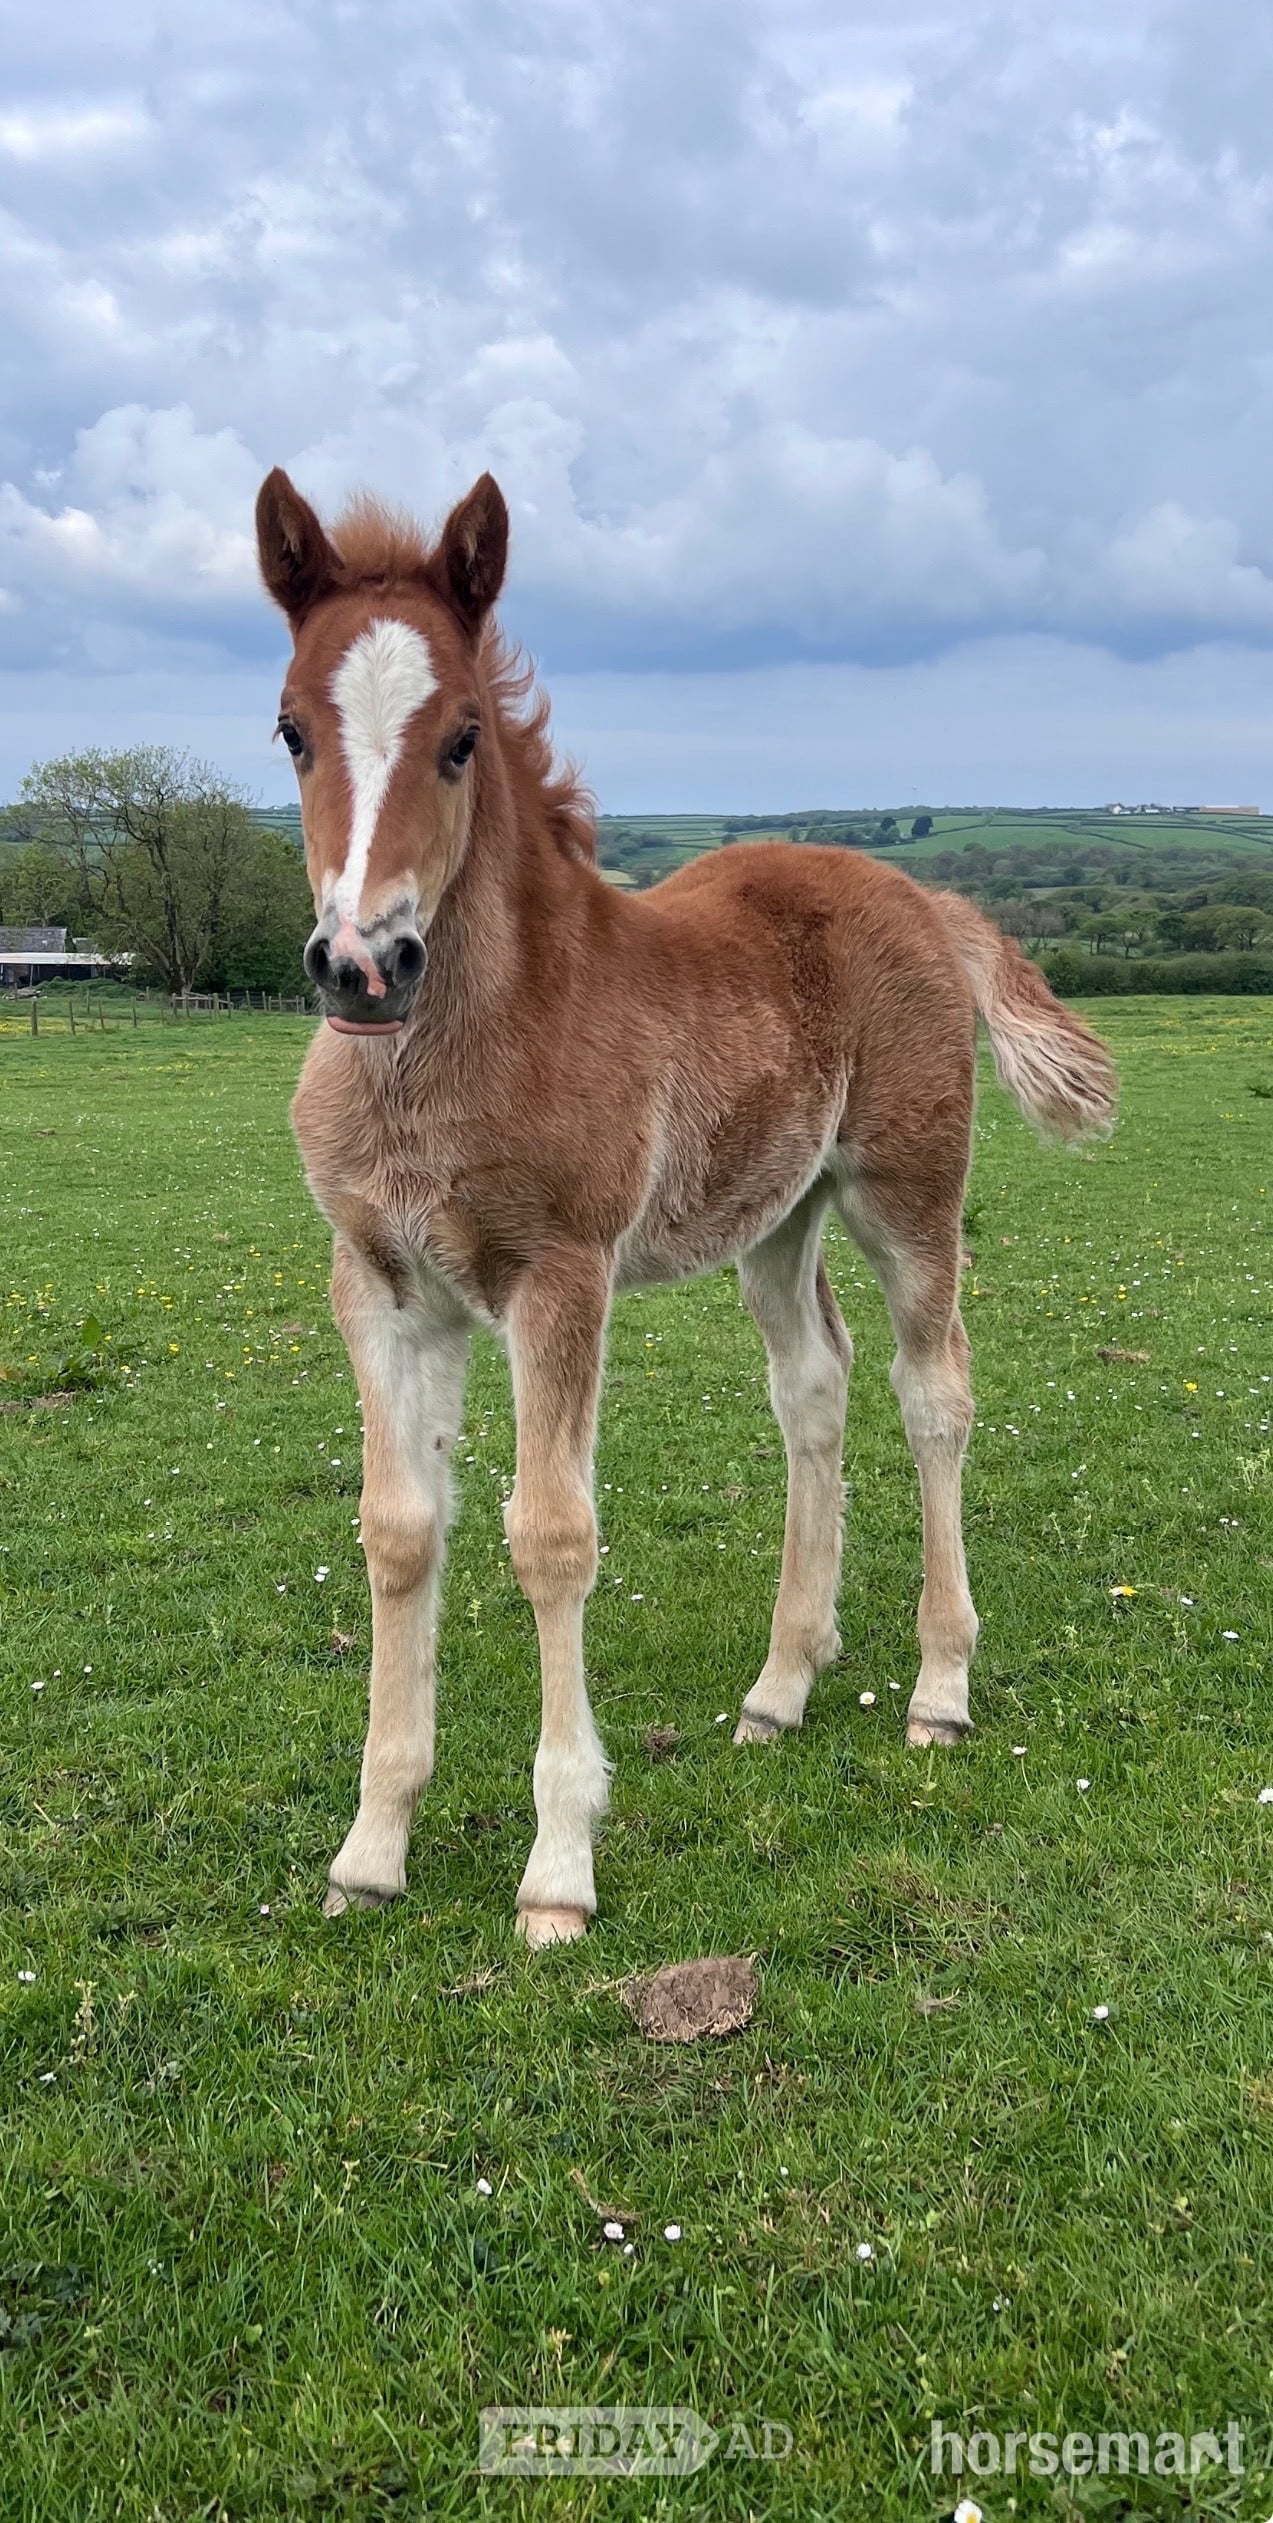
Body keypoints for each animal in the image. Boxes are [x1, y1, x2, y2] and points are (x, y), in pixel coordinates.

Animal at [254, 464, 1117, 1945]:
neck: (443, 1056)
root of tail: (916, 889)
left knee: (931, 1390)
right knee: (815, 1387)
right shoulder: (381, 1285)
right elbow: (398, 1532)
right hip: (776, 1214)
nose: (363, 964)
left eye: (461, 738)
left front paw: (558, 1870)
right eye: (293, 730)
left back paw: (939, 1689)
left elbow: (550, 1535)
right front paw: (370, 1847)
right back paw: (782, 1682)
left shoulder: (558, 1274)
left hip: (905, 1189)